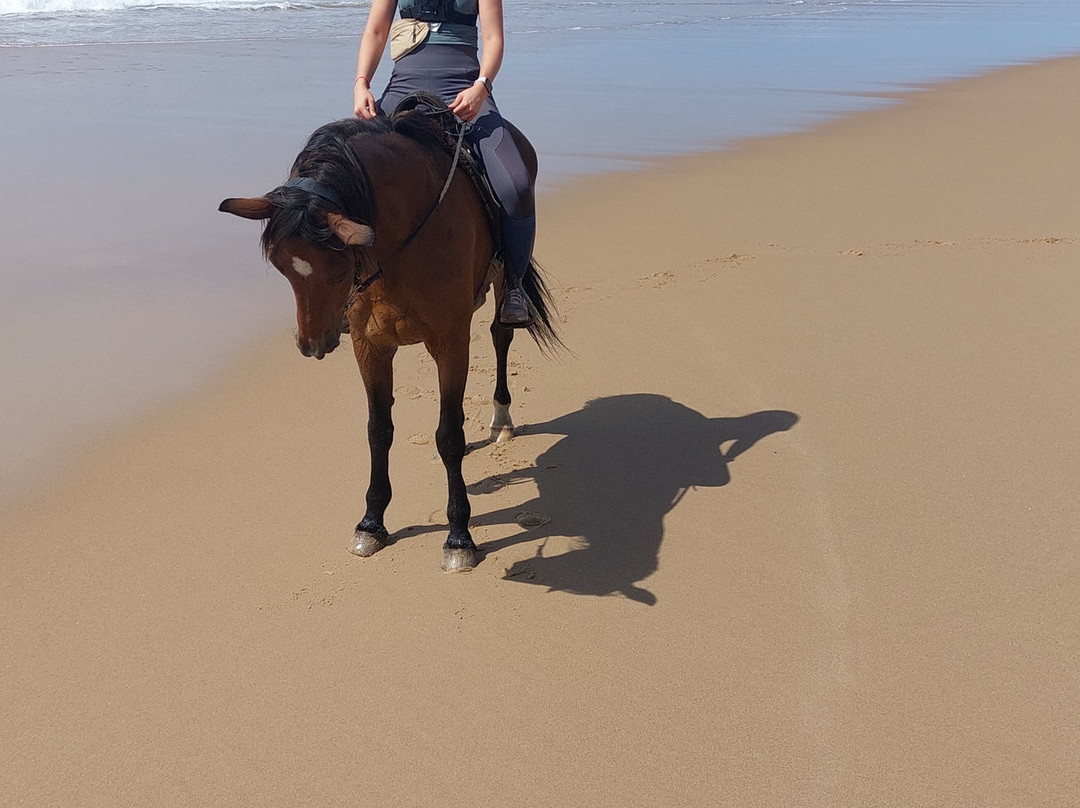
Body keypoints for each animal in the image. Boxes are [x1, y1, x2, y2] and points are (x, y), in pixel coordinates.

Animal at [219, 110, 559, 572]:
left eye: (337, 268)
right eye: (281, 265)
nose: (312, 344)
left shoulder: (451, 341)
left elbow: (449, 434)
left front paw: (459, 537)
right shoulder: (370, 346)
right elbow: (378, 430)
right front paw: (371, 523)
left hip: (503, 280)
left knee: (500, 336)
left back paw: (501, 417)